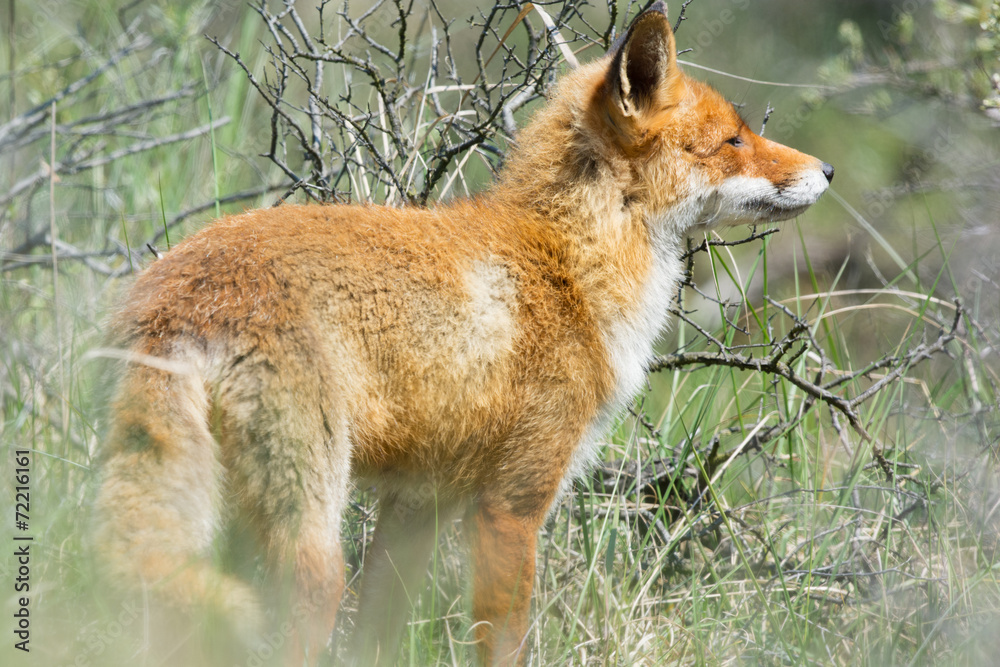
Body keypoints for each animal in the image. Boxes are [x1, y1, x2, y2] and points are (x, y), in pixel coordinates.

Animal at [91, 3, 833, 666]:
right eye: (734, 140)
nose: (826, 170)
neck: (571, 264)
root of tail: (178, 296)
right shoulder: (513, 505)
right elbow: (504, 644)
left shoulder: (418, 505)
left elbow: (376, 639)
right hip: (311, 542)